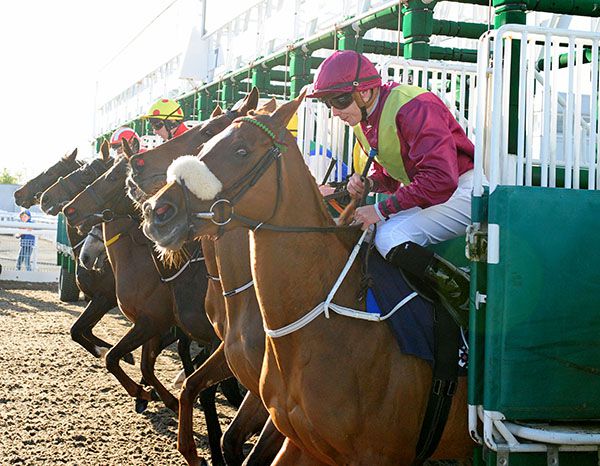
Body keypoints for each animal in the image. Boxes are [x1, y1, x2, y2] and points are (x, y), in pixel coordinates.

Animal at [142, 94, 474, 466]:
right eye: (204, 144)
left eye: (241, 150)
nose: (157, 210)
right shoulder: (298, 436)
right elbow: (204, 402)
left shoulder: (374, 452)